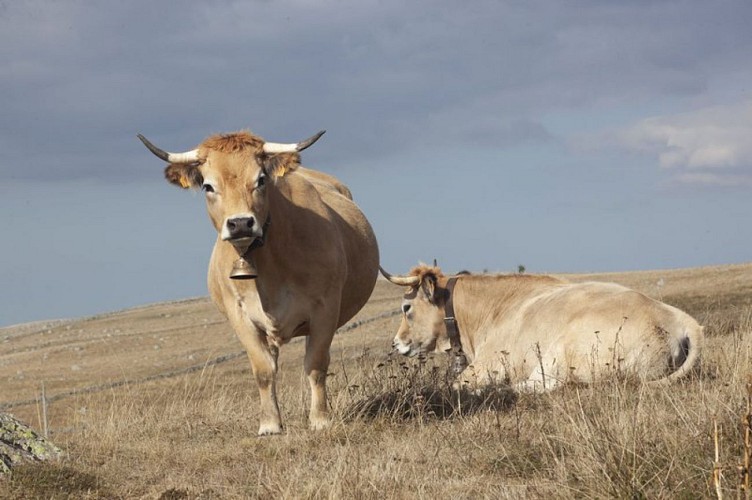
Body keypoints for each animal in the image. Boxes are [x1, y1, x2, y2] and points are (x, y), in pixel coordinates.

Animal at [138, 130, 378, 434]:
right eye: (208, 186)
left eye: (261, 179)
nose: (240, 223)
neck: (270, 268)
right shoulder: (240, 316)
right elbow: (263, 370)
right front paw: (270, 423)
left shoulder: (325, 309)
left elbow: (315, 364)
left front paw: (320, 419)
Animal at [382, 262, 704, 390]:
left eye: (406, 308)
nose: (396, 342)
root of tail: (681, 320)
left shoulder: (486, 366)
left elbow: (456, 385)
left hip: (563, 353)